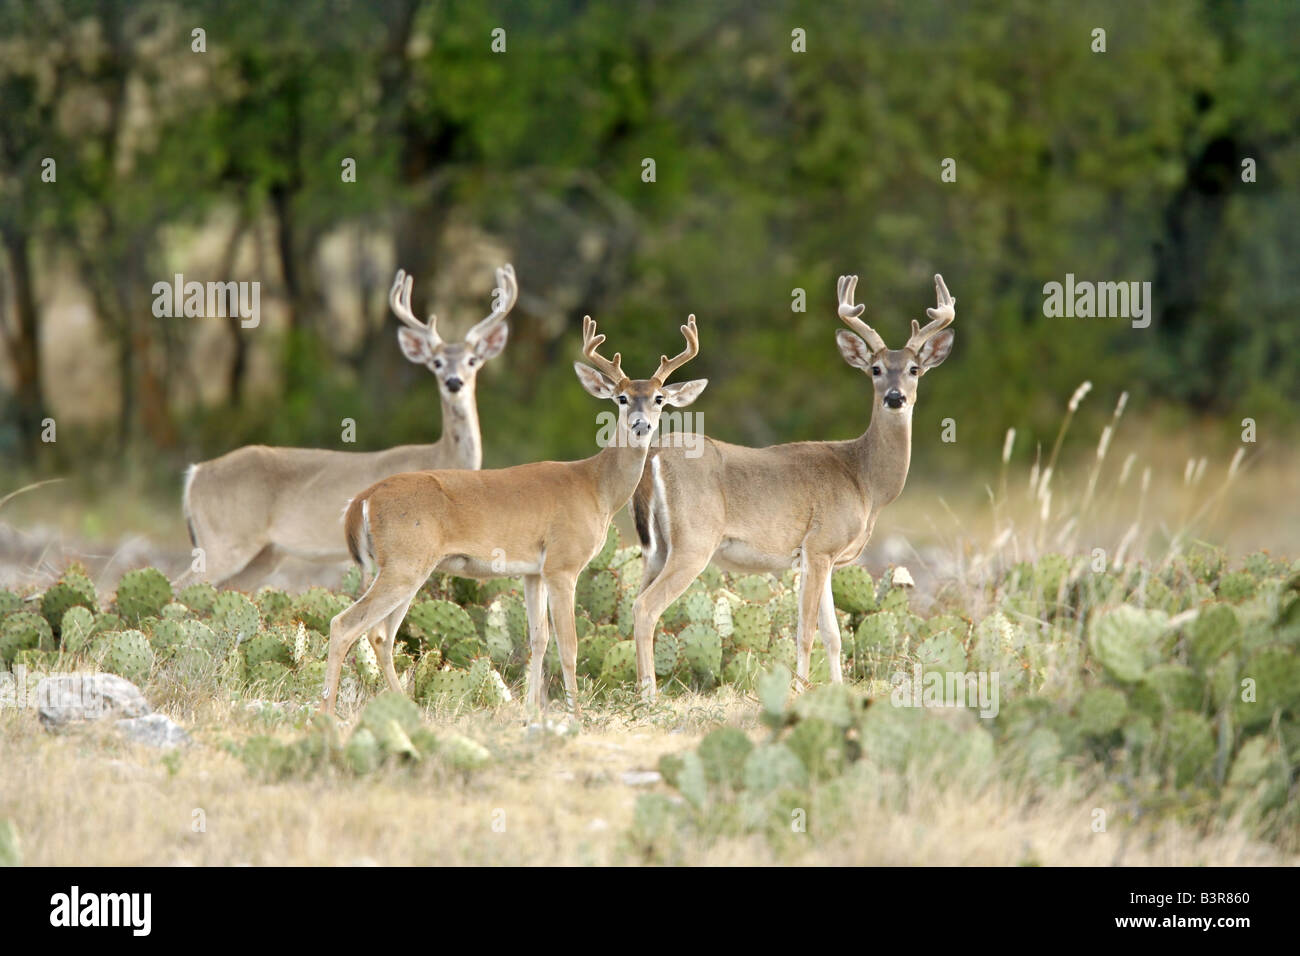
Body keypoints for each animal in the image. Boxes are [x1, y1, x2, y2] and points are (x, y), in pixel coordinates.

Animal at [183, 265, 517, 587]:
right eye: (435, 363)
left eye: (473, 360)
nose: (453, 382)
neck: (440, 457)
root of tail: (195, 475)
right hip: (224, 538)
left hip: (265, 554)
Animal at [325, 310, 712, 712]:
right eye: (621, 398)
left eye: (659, 398)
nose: (640, 424)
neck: (596, 487)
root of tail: (364, 499)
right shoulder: (562, 564)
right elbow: (569, 645)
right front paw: (575, 712)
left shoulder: (533, 572)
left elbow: (538, 639)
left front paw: (531, 709)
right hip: (404, 562)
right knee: (345, 624)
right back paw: (327, 711)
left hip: (406, 567)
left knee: (380, 635)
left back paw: (404, 707)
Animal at [634, 274, 961, 697]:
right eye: (874, 369)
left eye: (915, 369)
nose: (894, 397)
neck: (865, 480)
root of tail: (653, 457)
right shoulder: (819, 545)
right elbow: (805, 632)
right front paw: (801, 690)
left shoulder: (825, 557)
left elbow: (833, 635)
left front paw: (836, 689)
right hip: (694, 541)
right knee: (646, 607)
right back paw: (649, 695)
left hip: (656, 547)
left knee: (630, 601)